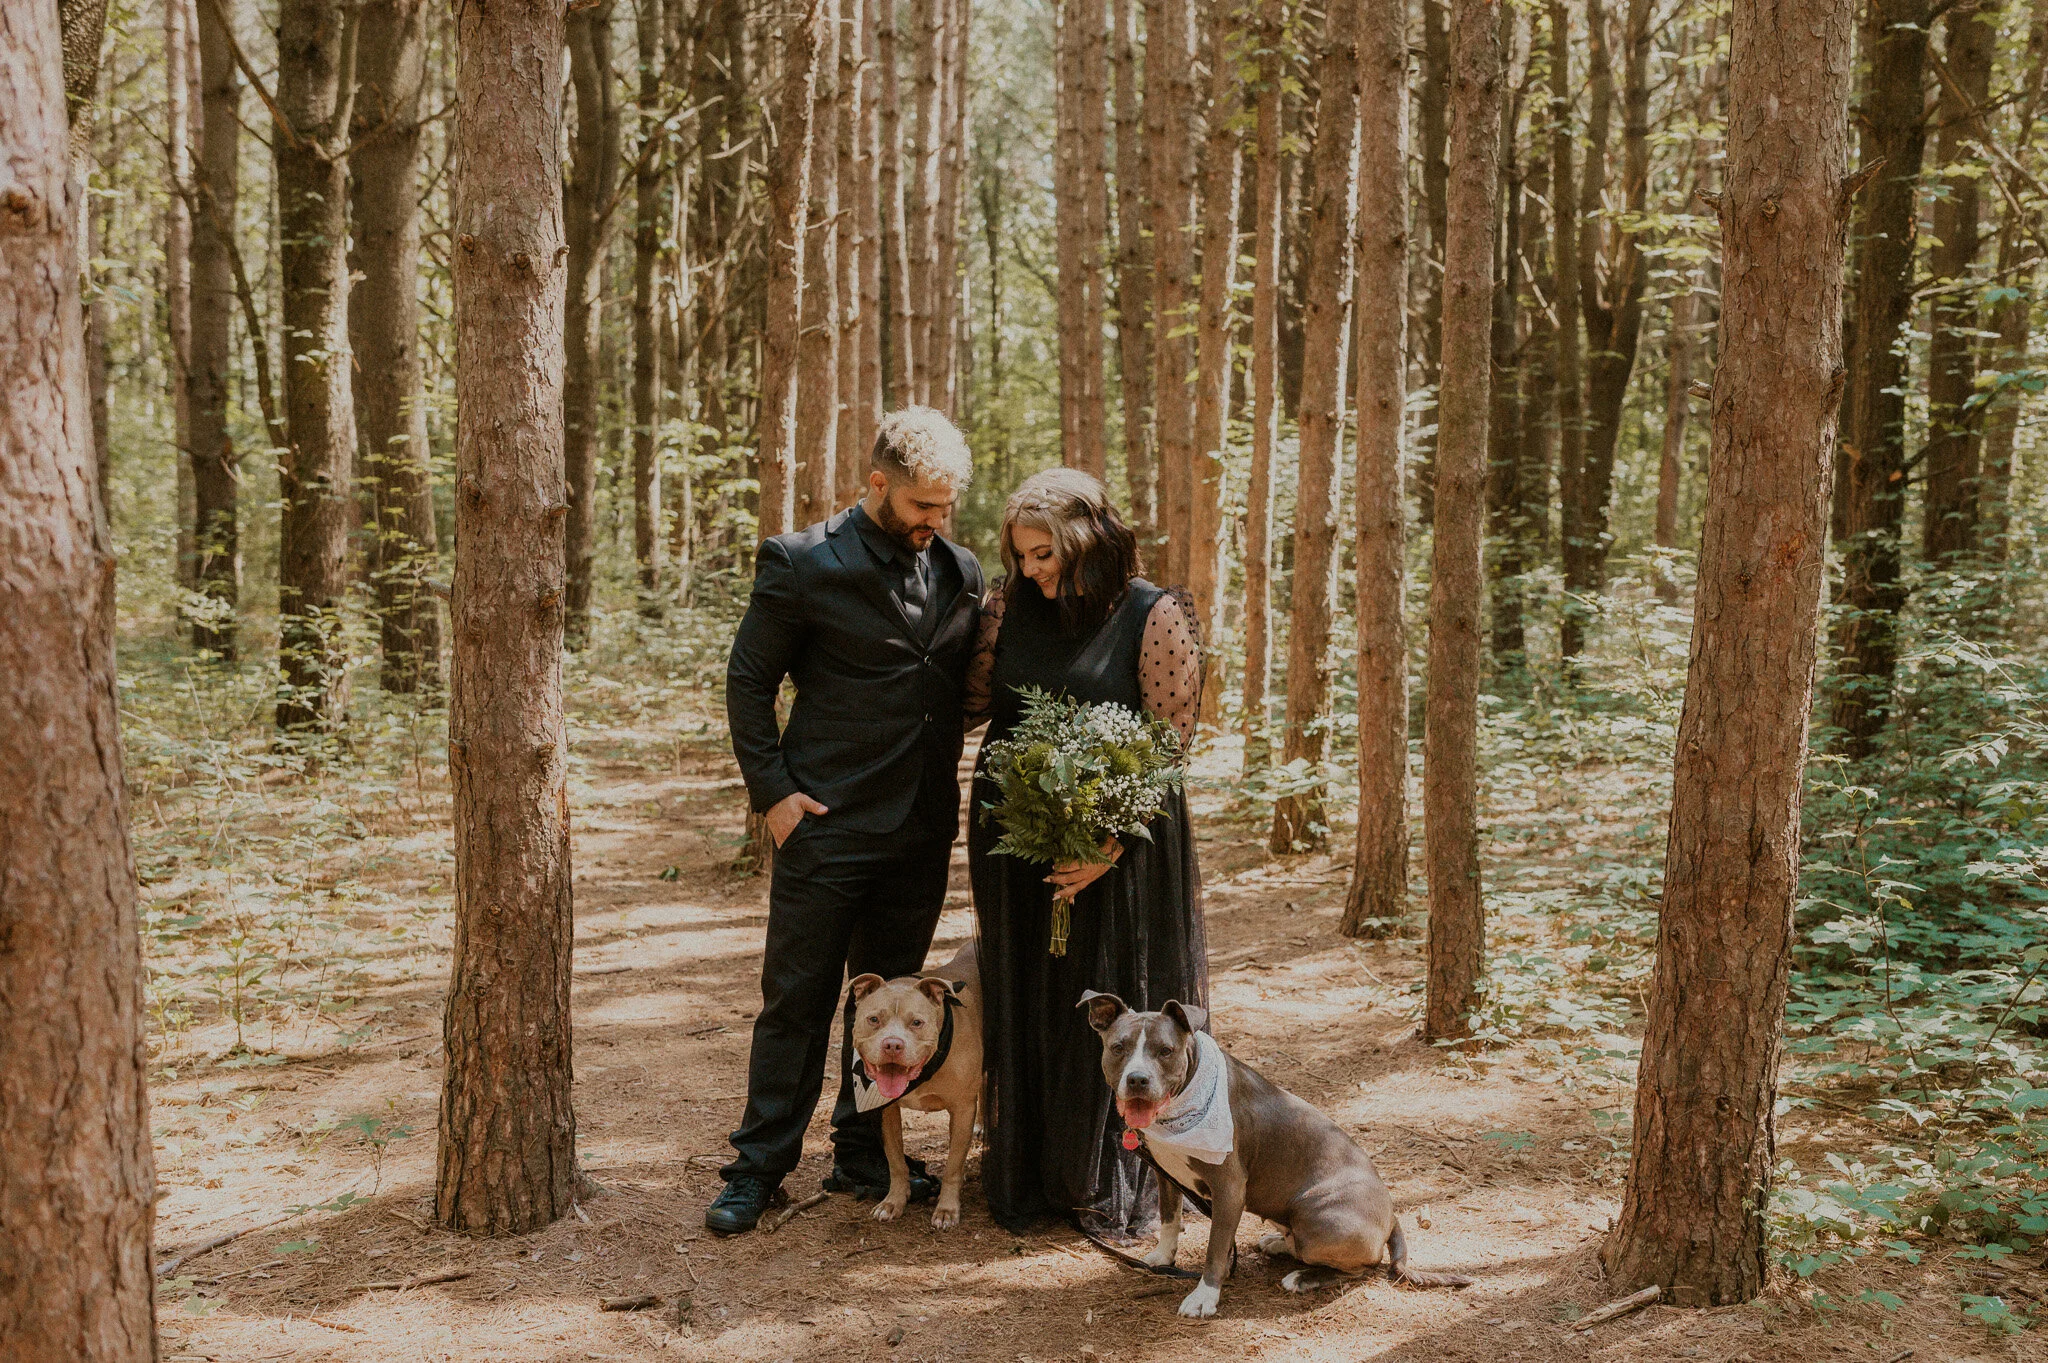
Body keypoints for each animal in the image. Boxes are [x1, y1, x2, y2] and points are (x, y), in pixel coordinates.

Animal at [843, 945, 978, 1219]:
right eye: (874, 1020)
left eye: (917, 1023)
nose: (893, 1045)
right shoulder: (886, 1110)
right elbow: (895, 1161)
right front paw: (893, 1202)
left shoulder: (963, 1108)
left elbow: (952, 1166)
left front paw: (947, 1209)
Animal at [1081, 994, 1466, 1309]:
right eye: (1119, 1047)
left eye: (1165, 1051)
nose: (1138, 1079)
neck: (1180, 1104)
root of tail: (1392, 1216)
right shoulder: (1166, 1174)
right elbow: (1170, 1220)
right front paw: (1163, 1256)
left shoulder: (1229, 1189)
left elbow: (1215, 1248)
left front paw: (1205, 1296)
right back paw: (1279, 1243)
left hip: (1317, 1216)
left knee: (1363, 1267)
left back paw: (1303, 1277)